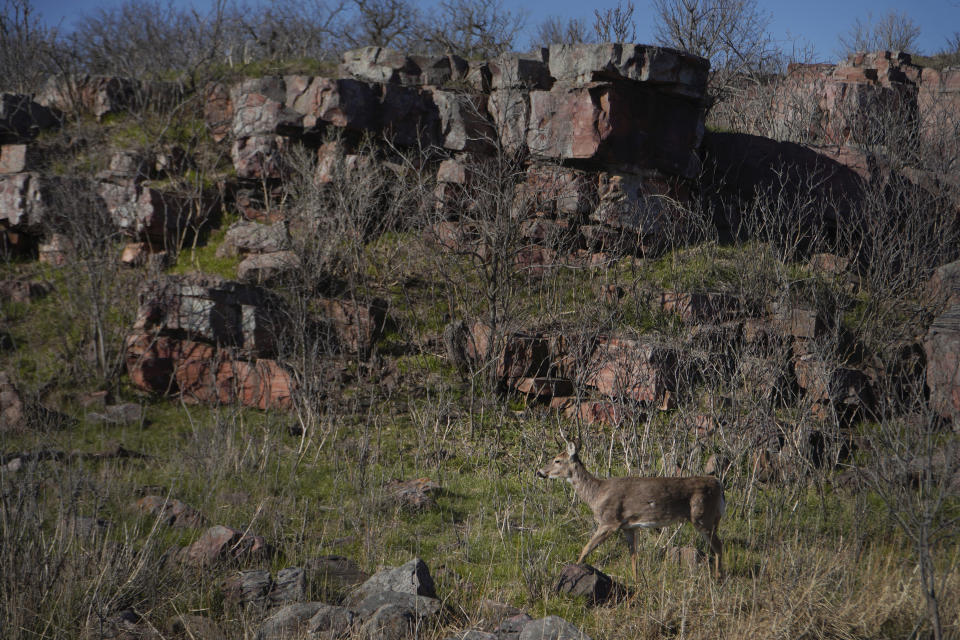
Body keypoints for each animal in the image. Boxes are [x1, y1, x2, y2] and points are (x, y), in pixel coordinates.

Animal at [536, 440, 724, 580]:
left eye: (557, 460)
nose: (540, 472)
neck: (596, 494)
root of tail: (718, 484)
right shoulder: (629, 527)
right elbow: (633, 556)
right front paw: (637, 581)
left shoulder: (609, 522)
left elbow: (586, 548)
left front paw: (572, 570)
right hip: (712, 518)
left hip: (702, 516)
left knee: (718, 546)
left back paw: (718, 579)